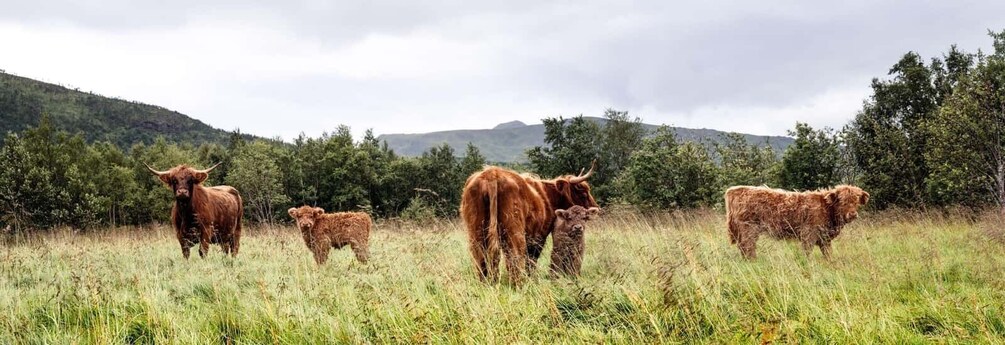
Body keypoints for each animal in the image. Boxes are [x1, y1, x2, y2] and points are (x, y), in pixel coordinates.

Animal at [460, 163, 598, 285]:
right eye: (583, 193)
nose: (596, 207)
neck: (546, 196)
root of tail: (492, 174)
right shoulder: (538, 236)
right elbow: (531, 260)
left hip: (476, 230)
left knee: (480, 257)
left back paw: (487, 283)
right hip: (514, 231)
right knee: (514, 256)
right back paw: (517, 285)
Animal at [727, 186, 868, 259]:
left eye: (856, 201)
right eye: (842, 201)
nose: (852, 214)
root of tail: (736, 189)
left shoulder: (825, 238)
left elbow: (828, 253)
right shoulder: (809, 234)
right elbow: (807, 251)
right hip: (749, 229)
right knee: (747, 246)